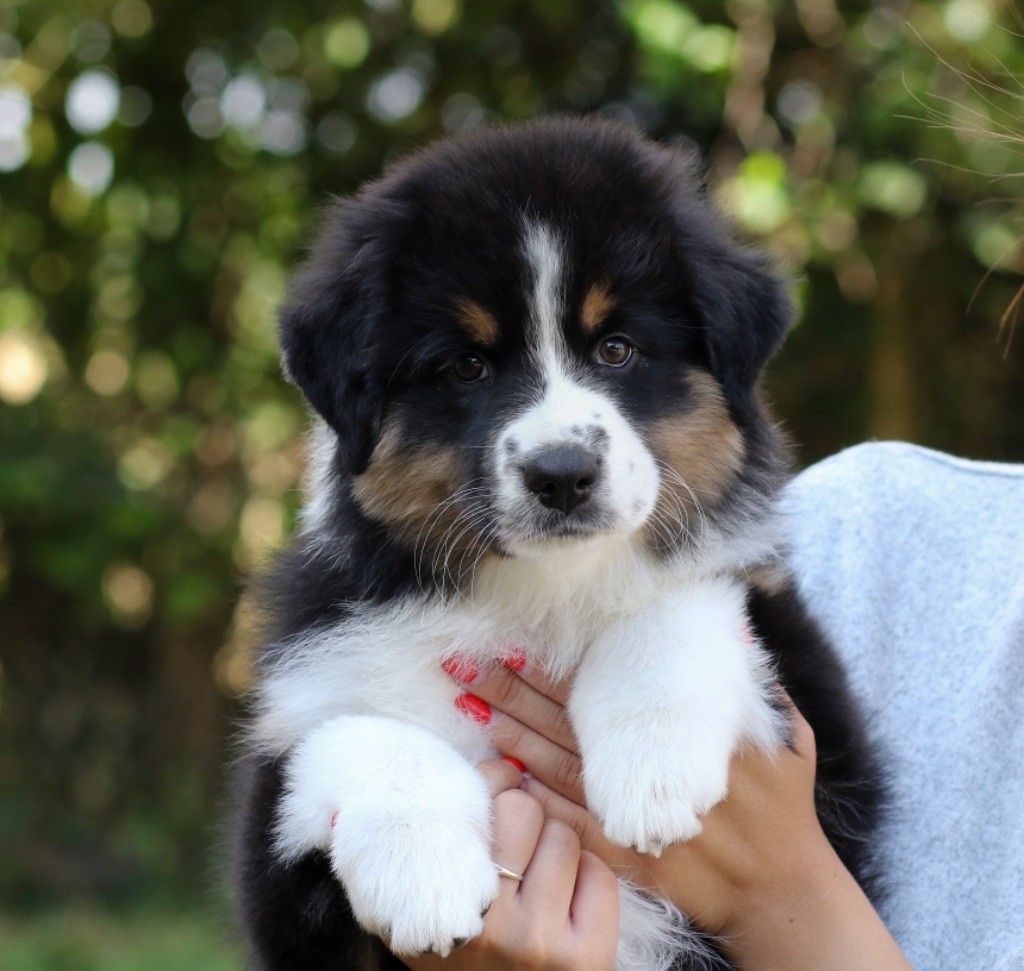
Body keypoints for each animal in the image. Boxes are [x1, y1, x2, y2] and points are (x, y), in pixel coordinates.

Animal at [232, 117, 885, 970]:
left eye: (616, 349)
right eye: (467, 365)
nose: (563, 473)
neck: (545, 591)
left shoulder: (819, 719)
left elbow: (680, 604)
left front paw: (652, 774)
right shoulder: (283, 845)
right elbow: (348, 734)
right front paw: (424, 877)